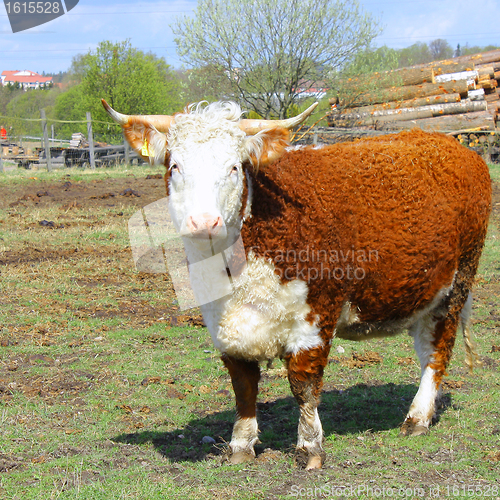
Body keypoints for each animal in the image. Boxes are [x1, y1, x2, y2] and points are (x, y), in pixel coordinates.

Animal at [102, 99, 492, 470]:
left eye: (233, 167)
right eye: (175, 167)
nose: (203, 221)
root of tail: (450, 144)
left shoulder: (315, 317)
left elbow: (304, 385)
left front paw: (310, 447)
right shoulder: (223, 326)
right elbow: (243, 386)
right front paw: (241, 445)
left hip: (455, 288)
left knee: (437, 352)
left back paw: (417, 418)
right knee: (427, 348)